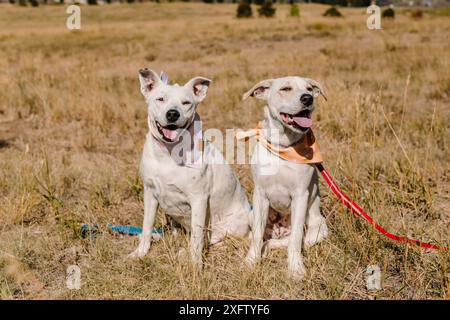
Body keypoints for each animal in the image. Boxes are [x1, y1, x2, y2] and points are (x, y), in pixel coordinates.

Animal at [128, 69, 251, 266]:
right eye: (160, 99)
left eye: (186, 103)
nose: (172, 114)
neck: (169, 153)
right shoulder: (150, 193)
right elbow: (146, 227)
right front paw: (140, 253)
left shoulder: (199, 200)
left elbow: (197, 239)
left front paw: (195, 266)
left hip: (232, 224)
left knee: (219, 240)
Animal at [243, 76, 330, 278]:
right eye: (285, 89)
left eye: (309, 89)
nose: (307, 98)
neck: (282, 147)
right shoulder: (260, 194)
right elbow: (257, 235)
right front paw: (251, 261)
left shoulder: (300, 196)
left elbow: (296, 239)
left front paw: (295, 269)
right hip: (252, 214)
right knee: (264, 238)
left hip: (320, 229)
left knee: (291, 241)